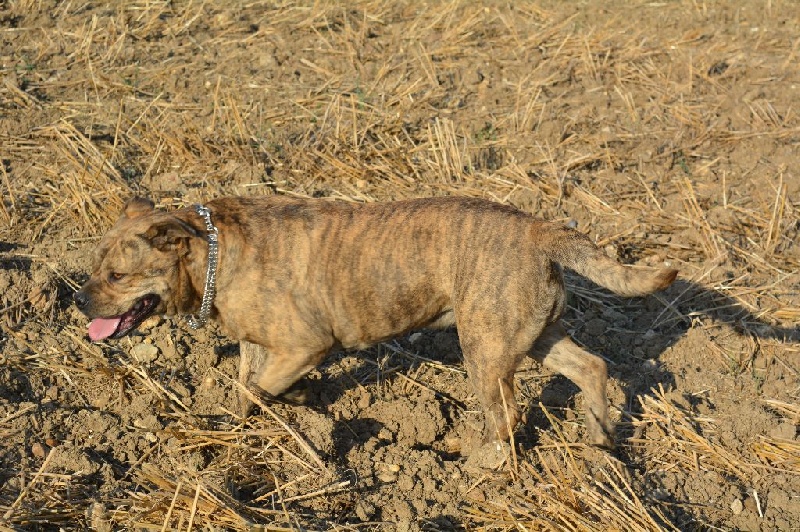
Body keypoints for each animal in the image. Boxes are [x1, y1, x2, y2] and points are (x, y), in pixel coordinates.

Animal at [74, 195, 677, 448]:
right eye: (93, 265)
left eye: (118, 275)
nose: (79, 301)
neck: (212, 253)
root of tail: (540, 231)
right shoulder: (258, 343)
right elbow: (249, 385)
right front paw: (262, 418)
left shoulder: (305, 345)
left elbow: (261, 388)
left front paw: (289, 406)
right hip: (532, 336)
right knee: (593, 366)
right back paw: (601, 438)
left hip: (484, 351)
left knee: (504, 413)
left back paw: (481, 460)